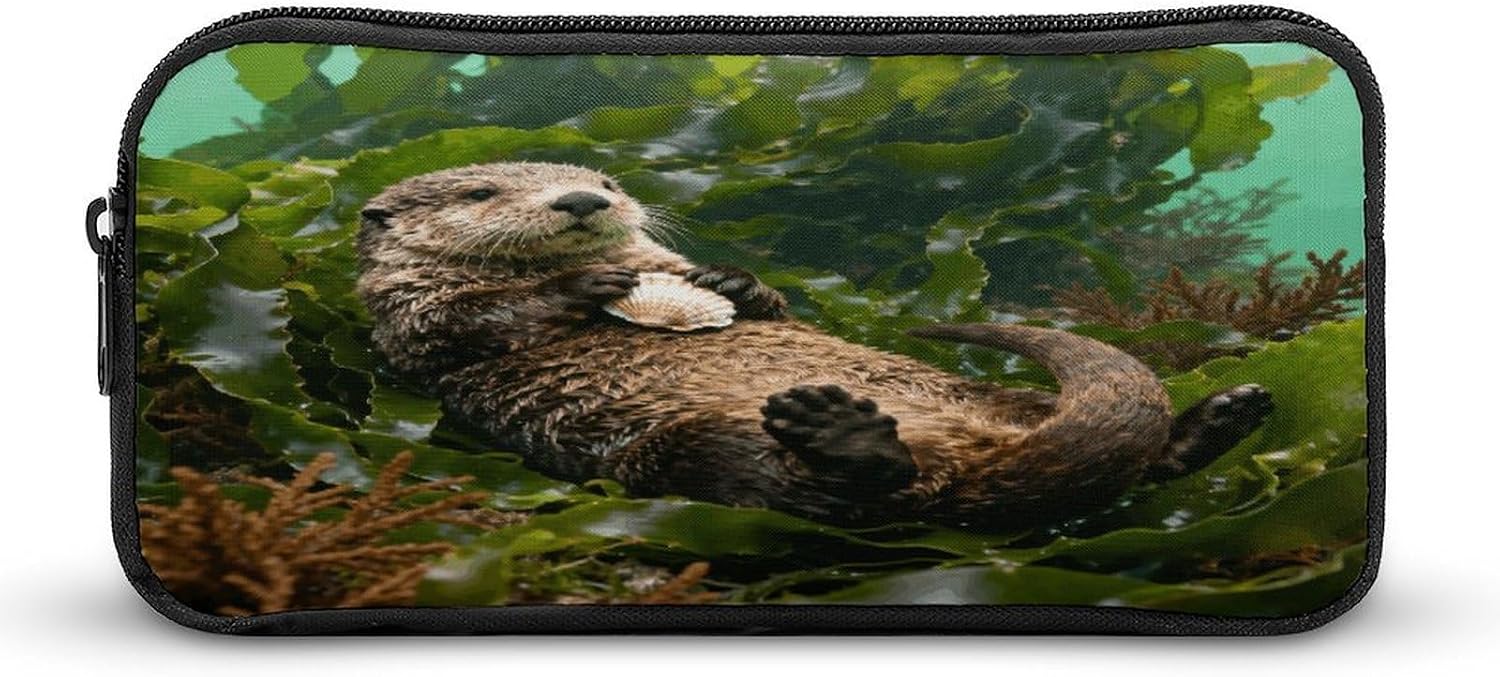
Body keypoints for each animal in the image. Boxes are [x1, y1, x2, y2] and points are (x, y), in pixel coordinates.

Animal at [356, 162, 1271, 528]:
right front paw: (582, 289)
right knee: (868, 492)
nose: (584, 199)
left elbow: (769, 303)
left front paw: (730, 282)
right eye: (482, 190)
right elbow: (463, 326)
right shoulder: (408, 322)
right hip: (684, 447)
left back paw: (1221, 416)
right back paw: (848, 436)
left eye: (607, 181)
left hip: (999, 394)